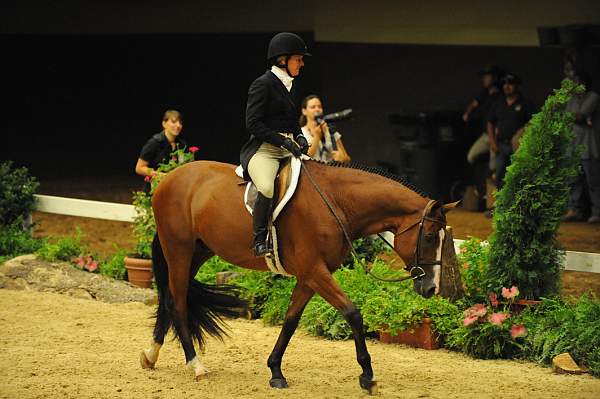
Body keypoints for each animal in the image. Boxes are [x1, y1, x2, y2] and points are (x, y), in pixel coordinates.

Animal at [141, 159, 458, 394]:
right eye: (430, 237)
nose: (431, 288)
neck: (336, 202)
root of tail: (168, 178)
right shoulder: (315, 271)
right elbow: (352, 313)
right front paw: (368, 377)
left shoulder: (309, 276)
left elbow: (291, 321)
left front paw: (275, 371)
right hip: (179, 250)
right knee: (177, 303)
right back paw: (196, 365)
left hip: (197, 252)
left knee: (169, 300)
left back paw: (151, 355)